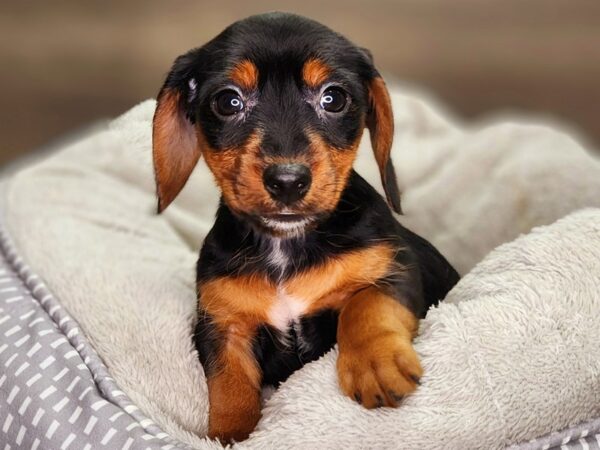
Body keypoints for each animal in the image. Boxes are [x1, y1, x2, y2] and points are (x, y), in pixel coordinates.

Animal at [151, 11, 460, 442]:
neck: (286, 244)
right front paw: (232, 435)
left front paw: (375, 364)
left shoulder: (395, 273)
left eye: (333, 97)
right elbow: (230, 385)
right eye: (228, 101)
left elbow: (366, 304)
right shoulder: (223, 326)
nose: (287, 181)